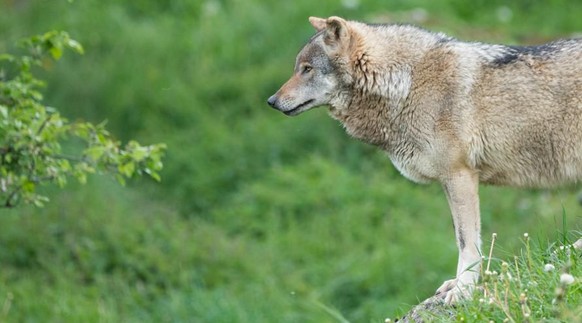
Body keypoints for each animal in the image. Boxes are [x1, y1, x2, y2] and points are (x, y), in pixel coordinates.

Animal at [268, 15, 582, 304]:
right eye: (298, 68)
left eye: (307, 69)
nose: (271, 101)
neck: (407, 83)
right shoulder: (449, 181)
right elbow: (460, 237)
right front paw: (458, 283)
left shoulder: (460, 175)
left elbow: (467, 241)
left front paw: (464, 289)